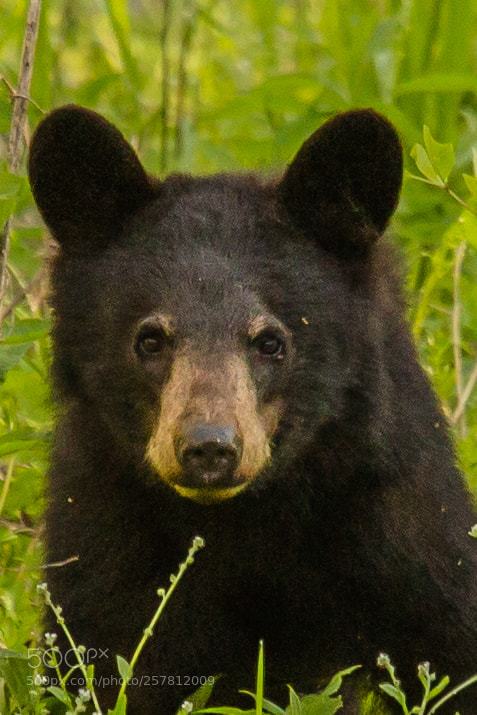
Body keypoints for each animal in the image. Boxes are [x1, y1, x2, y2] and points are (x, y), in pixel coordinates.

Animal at [28, 105, 477, 714]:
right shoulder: (101, 542)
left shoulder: (405, 537)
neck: (241, 524)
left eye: (270, 342)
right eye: (150, 340)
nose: (209, 448)